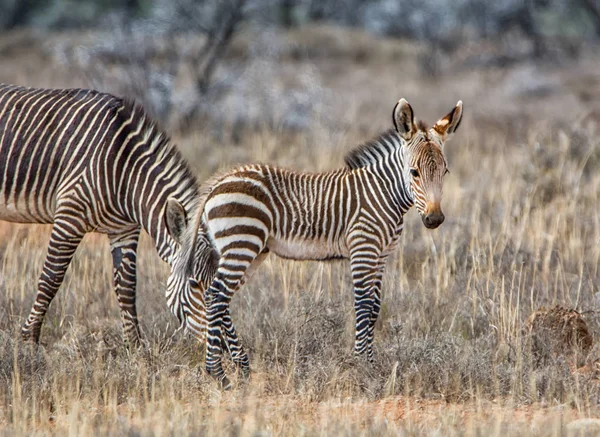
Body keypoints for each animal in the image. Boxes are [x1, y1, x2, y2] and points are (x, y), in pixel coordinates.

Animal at [0, 83, 214, 346]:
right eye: (194, 284)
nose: (215, 343)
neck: (126, 172)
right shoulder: (69, 216)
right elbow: (51, 278)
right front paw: (28, 339)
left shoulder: (125, 230)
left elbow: (127, 287)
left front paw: (134, 346)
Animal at [164, 98, 464, 384]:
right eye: (414, 172)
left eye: (446, 172)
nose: (434, 219)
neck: (383, 194)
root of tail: (220, 181)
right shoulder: (363, 249)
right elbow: (364, 304)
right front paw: (362, 366)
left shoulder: (381, 255)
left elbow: (376, 307)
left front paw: (372, 364)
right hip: (241, 244)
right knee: (216, 296)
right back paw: (218, 374)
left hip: (245, 250)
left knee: (220, 297)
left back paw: (240, 369)